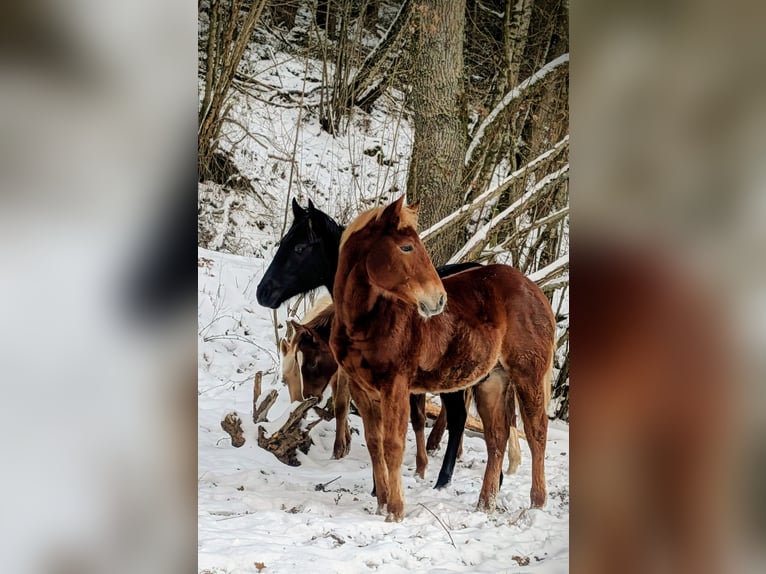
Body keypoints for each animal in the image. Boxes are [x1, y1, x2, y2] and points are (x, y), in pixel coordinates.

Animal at [330, 197, 554, 522]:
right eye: (406, 247)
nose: (438, 300)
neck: (365, 324)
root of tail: (534, 290)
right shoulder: (363, 390)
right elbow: (374, 445)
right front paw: (382, 503)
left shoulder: (395, 387)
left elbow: (393, 446)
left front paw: (395, 511)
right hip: (492, 382)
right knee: (496, 439)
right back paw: (485, 503)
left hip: (528, 376)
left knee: (537, 433)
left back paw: (536, 502)